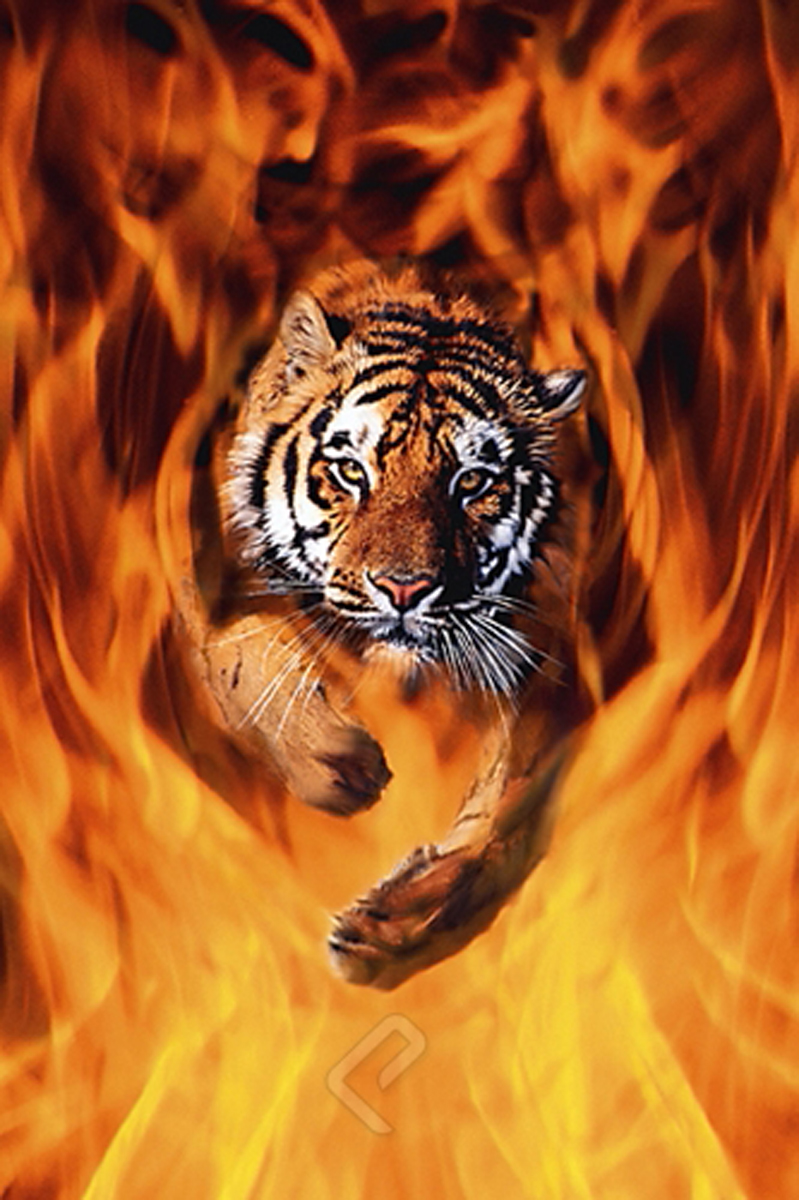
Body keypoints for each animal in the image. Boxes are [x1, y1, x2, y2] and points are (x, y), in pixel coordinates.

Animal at [181, 260, 587, 988]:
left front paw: (395, 925)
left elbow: (509, 805)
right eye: (350, 470)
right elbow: (242, 653)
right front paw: (335, 764)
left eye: (471, 482)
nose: (405, 588)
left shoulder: (540, 655)